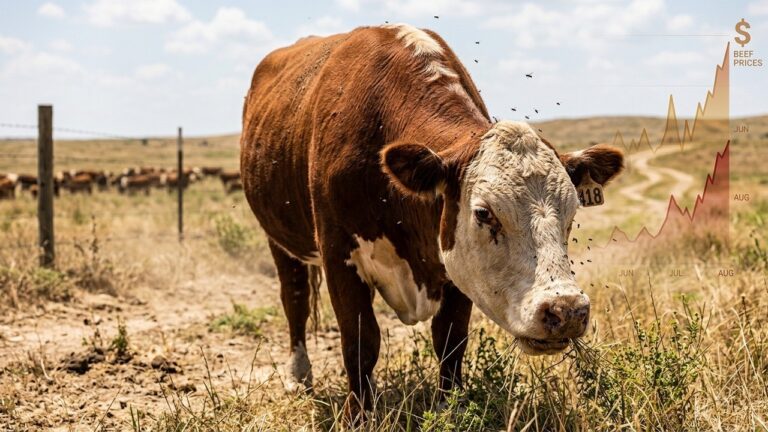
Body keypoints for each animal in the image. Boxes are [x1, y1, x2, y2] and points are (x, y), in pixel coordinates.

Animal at [240, 25, 623, 418]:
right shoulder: (339, 256)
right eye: (484, 213)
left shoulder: (454, 267)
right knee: (295, 300)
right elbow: (360, 341)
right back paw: (298, 375)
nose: (566, 310)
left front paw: (449, 407)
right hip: (279, 241)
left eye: (572, 213)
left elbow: (450, 340)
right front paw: (359, 414)